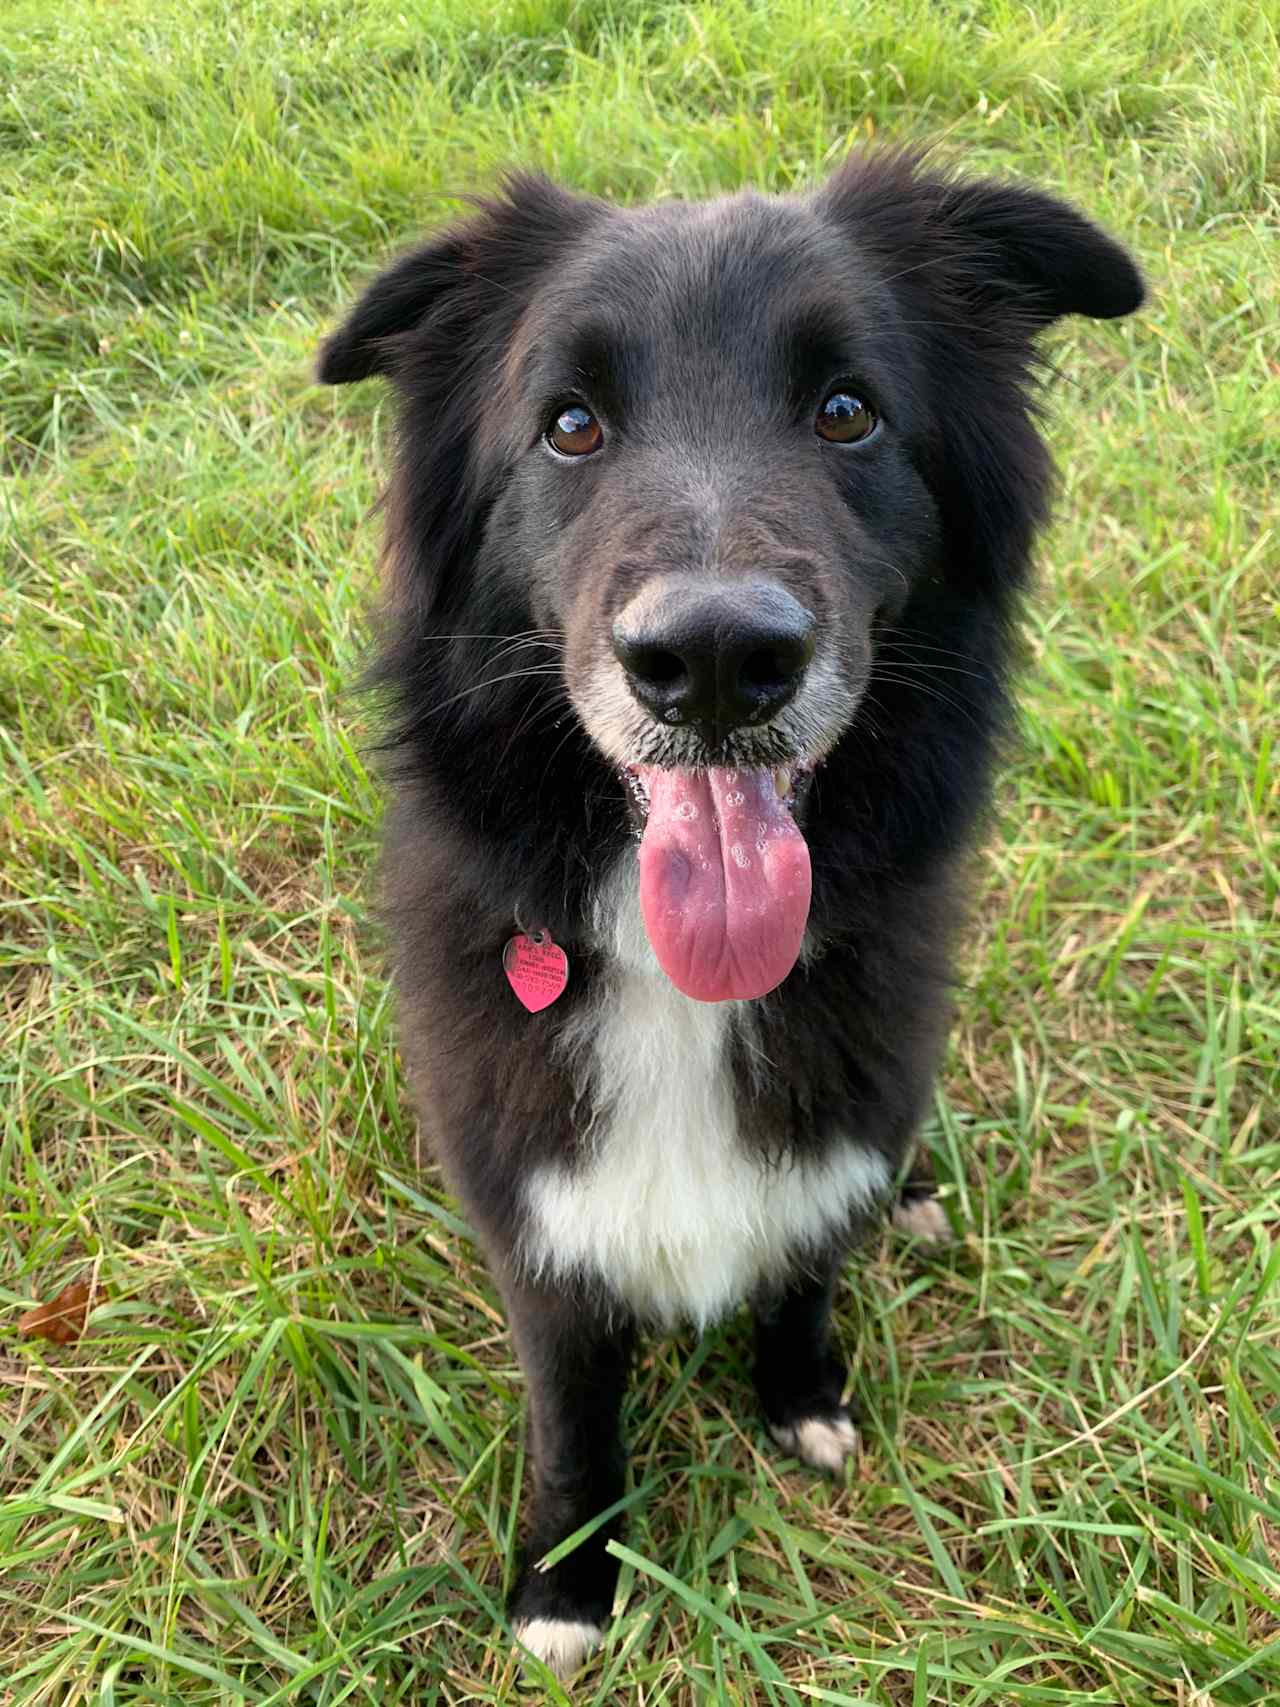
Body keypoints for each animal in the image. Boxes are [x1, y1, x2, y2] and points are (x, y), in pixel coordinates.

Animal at [319, 153, 1140, 1672]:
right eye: (568, 424)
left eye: (847, 410)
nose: (712, 663)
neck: (677, 980)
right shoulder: (538, 1225)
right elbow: (572, 1410)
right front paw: (567, 1579)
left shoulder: (836, 1129)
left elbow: (804, 1265)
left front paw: (803, 1395)